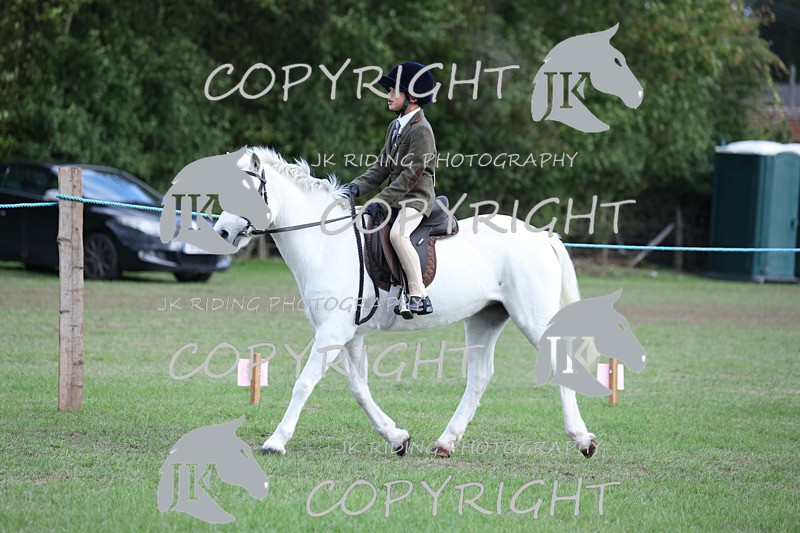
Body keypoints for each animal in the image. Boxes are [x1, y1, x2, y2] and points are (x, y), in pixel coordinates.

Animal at [213, 146, 609, 459]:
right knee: (480, 377)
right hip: (485, 317)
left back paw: (583, 440)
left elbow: (305, 383)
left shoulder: (332, 332)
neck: (326, 245)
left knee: (559, 364)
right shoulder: (349, 335)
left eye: (247, 192)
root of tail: (542, 236)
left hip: (532, 318)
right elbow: (359, 390)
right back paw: (445, 444)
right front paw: (397, 438)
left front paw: (275, 442)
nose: (222, 232)